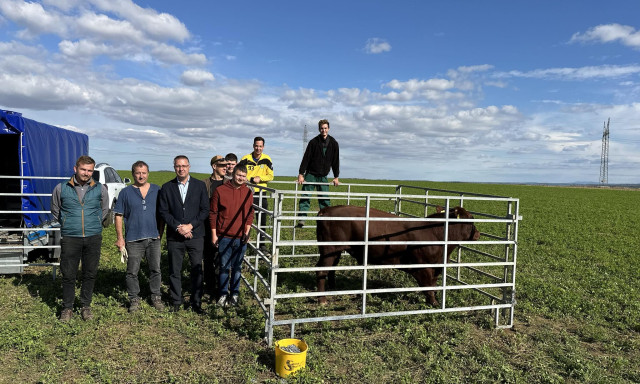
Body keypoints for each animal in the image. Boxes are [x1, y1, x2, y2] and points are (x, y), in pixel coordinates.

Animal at [316, 204, 480, 306]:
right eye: (471, 219)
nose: (478, 233)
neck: (436, 233)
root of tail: (327, 210)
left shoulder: (436, 266)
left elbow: (433, 285)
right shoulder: (423, 267)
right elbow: (428, 287)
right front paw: (434, 303)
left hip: (335, 251)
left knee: (331, 269)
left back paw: (333, 288)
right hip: (328, 250)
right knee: (322, 271)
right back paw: (322, 300)